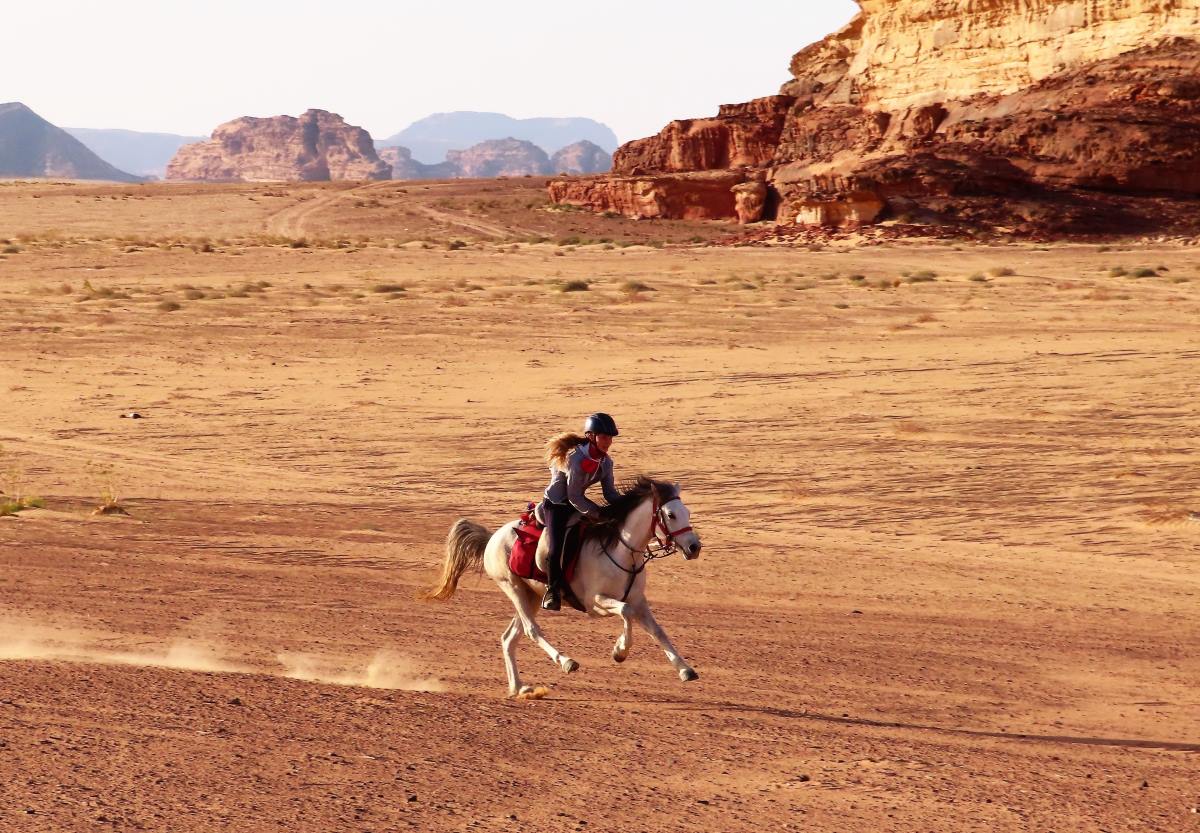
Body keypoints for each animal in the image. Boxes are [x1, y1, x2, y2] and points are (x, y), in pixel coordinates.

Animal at [424, 477, 702, 698]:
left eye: (687, 512)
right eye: (671, 515)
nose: (694, 547)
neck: (620, 551)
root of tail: (492, 537)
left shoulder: (638, 601)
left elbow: (657, 630)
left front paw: (685, 669)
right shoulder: (596, 603)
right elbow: (625, 612)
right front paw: (619, 651)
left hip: (531, 597)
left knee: (509, 638)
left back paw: (519, 688)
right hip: (513, 588)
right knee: (531, 631)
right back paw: (566, 662)